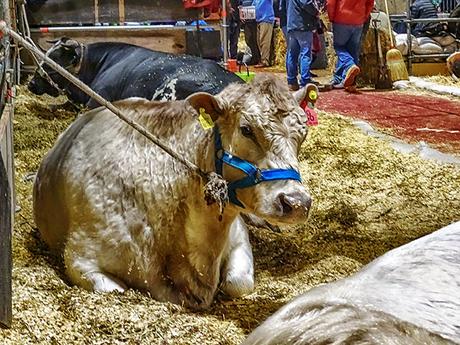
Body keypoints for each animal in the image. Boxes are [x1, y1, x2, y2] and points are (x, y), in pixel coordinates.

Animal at [35, 75, 316, 310]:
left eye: (303, 134)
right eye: (246, 130)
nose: (297, 203)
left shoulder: (238, 236)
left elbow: (238, 284)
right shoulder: (81, 258)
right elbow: (117, 290)